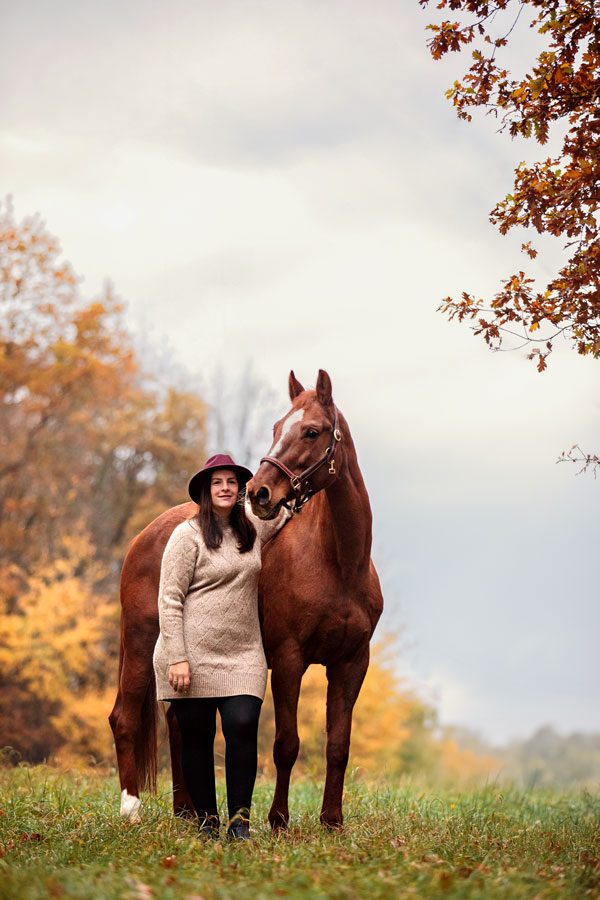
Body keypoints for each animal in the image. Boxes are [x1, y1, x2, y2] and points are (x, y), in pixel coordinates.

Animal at [109, 369, 383, 827]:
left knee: (177, 723)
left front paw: (331, 821)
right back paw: (132, 810)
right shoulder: (289, 660)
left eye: (311, 431)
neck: (340, 564)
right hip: (141, 641)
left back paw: (187, 813)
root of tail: (145, 536)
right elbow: (286, 744)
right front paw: (278, 820)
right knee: (125, 718)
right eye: (276, 428)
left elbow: (338, 746)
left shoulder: (350, 664)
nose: (259, 493)